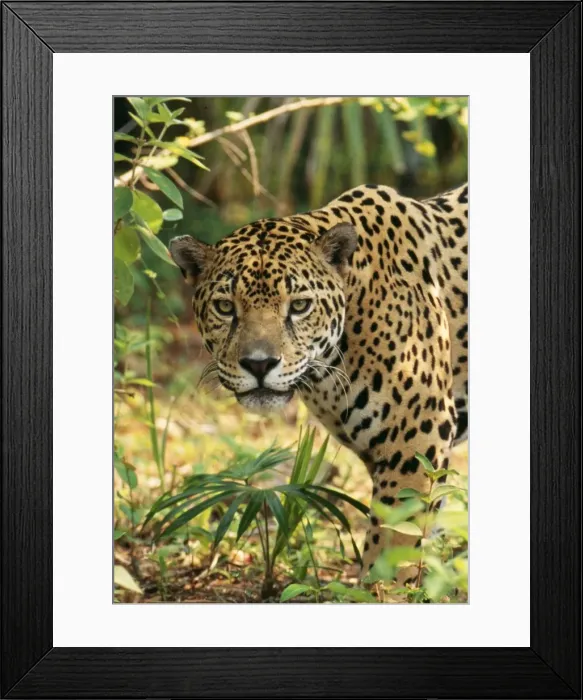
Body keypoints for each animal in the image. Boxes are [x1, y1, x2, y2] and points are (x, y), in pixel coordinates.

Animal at [170, 182, 468, 577]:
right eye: (225, 307)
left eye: (299, 306)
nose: (259, 364)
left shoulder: (417, 438)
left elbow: (394, 548)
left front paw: (381, 587)